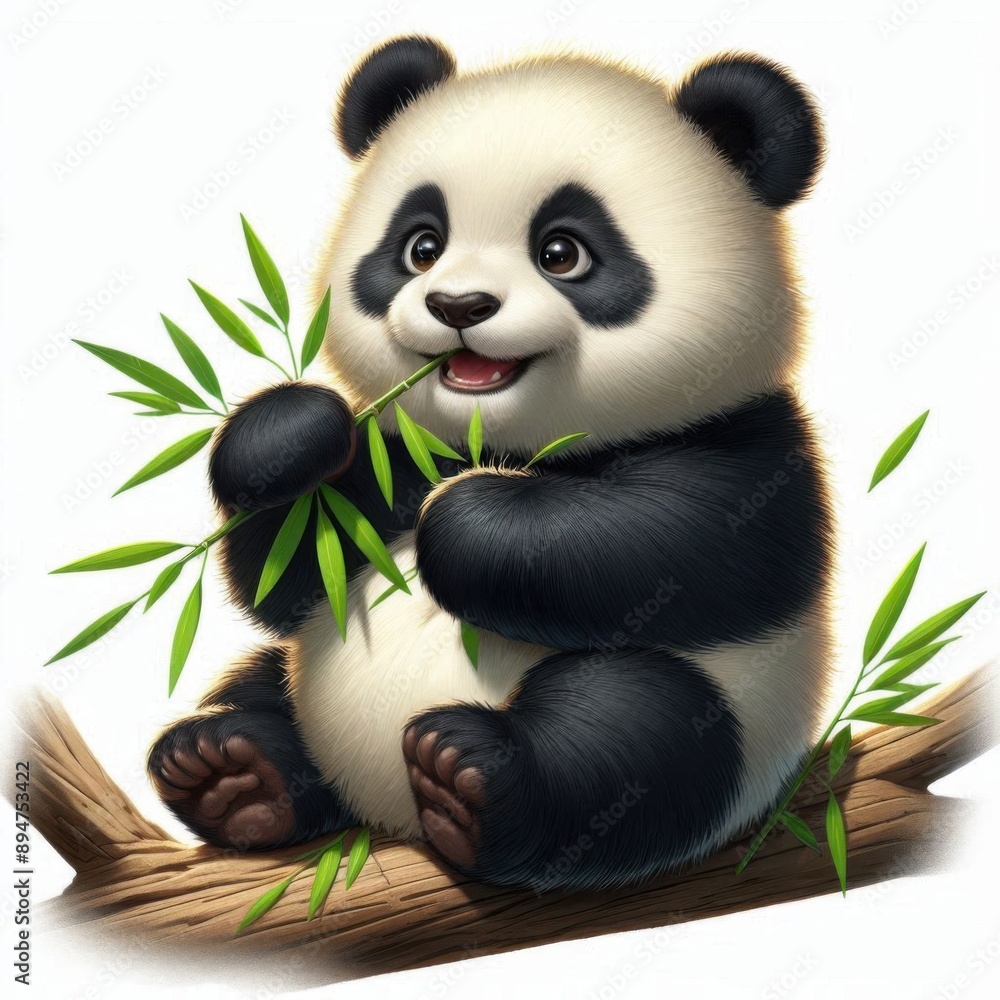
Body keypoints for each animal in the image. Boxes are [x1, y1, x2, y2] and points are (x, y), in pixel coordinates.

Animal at [149, 36, 833, 892]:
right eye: (421, 246)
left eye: (562, 252)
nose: (459, 306)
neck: (496, 442)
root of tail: (387, 812)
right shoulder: (393, 452)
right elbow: (290, 574)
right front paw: (288, 433)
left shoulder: (745, 439)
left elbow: (686, 544)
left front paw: (464, 518)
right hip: (300, 683)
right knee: (262, 684)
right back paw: (231, 768)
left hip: (731, 712)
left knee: (634, 732)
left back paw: (472, 782)